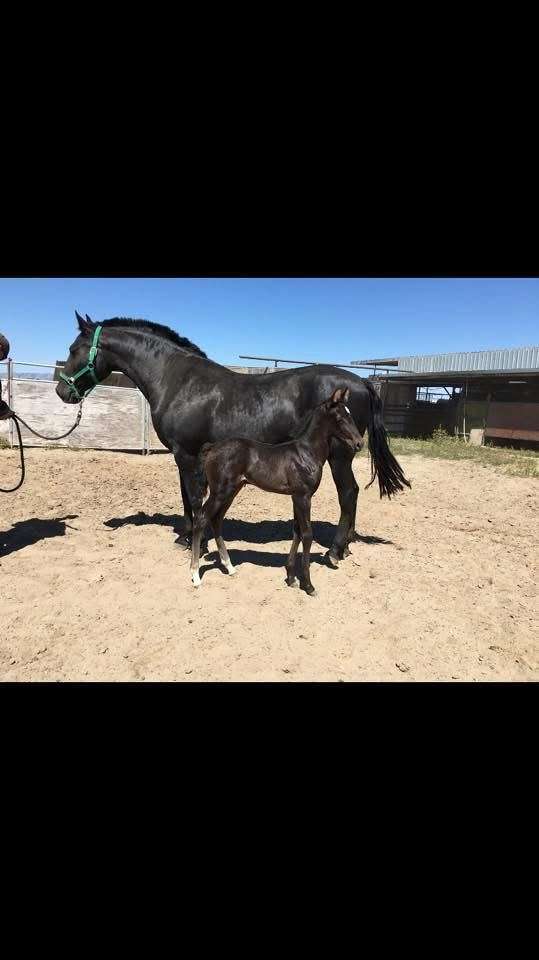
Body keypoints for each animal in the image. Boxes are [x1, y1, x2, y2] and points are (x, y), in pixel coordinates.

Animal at [56, 312, 410, 566]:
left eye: (73, 349)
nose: (62, 391)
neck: (178, 380)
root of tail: (362, 382)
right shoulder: (187, 456)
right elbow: (188, 497)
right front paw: (189, 538)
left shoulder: (187, 454)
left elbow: (193, 498)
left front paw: (193, 541)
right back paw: (345, 547)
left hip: (339, 454)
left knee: (348, 493)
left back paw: (335, 552)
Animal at [190, 387, 364, 594]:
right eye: (340, 418)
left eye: (350, 414)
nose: (359, 443)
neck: (306, 453)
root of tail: (212, 447)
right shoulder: (303, 497)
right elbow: (307, 534)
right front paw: (308, 584)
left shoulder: (296, 497)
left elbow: (297, 532)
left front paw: (291, 577)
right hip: (220, 492)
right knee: (201, 519)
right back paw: (195, 575)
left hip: (232, 490)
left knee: (216, 520)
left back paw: (230, 567)